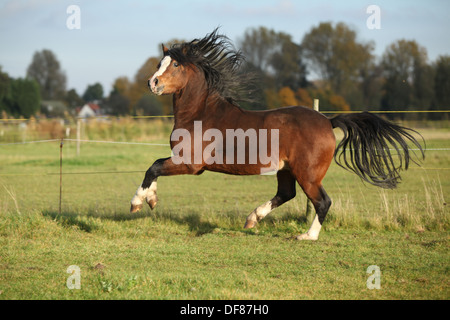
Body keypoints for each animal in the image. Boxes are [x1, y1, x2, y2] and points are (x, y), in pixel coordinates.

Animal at [129, 29, 422, 240]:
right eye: (160, 62)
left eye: (175, 65)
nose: (152, 82)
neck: (201, 113)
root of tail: (328, 122)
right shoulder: (183, 160)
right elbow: (155, 166)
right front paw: (151, 199)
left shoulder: (190, 164)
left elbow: (153, 167)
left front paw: (138, 202)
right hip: (286, 170)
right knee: (287, 194)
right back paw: (253, 219)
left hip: (308, 174)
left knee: (322, 201)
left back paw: (306, 236)